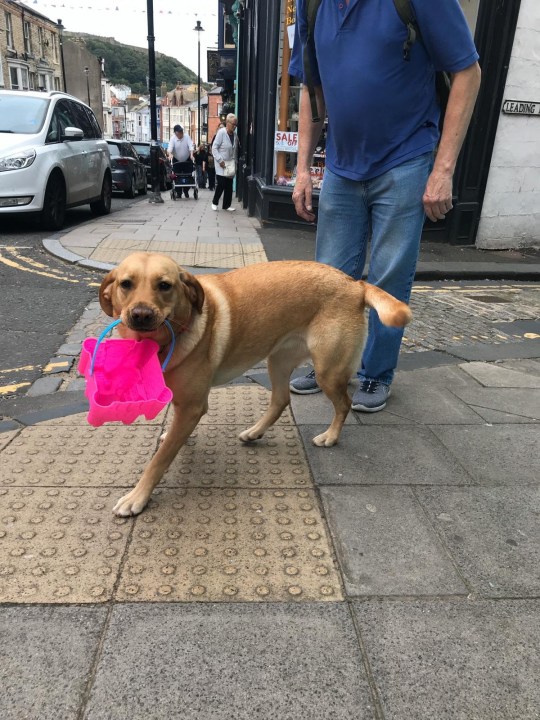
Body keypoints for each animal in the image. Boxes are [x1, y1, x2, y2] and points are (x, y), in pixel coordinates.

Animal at [99, 253, 412, 516]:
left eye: (164, 285)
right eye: (126, 284)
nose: (140, 315)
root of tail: (355, 284)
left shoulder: (192, 407)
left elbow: (159, 461)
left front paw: (138, 496)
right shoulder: (182, 403)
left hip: (328, 371)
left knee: (343, 403)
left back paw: (331, 437)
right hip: (279, 360)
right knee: (281, 400)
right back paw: (254, 432)